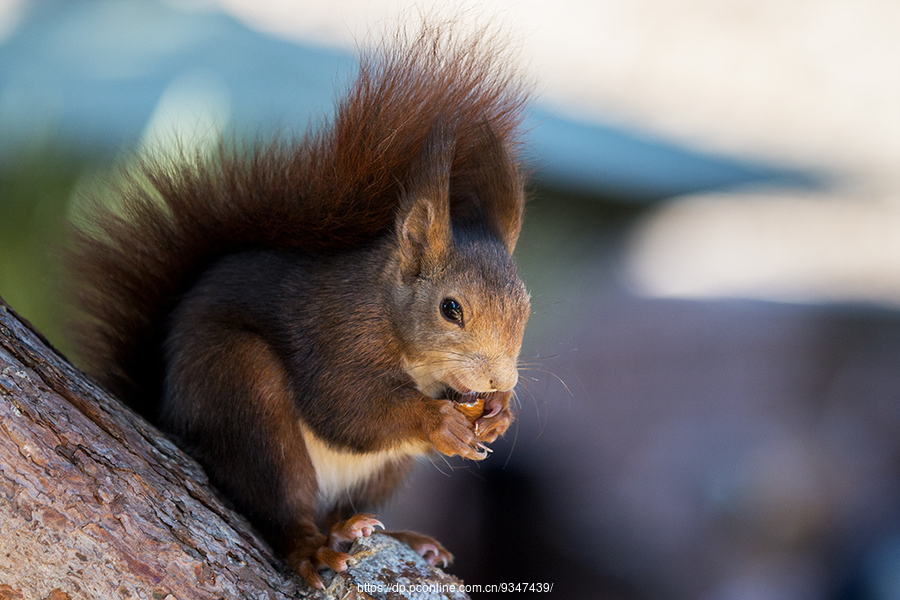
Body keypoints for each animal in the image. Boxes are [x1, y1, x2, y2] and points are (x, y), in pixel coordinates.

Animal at [68, 19, 536, 592]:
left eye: (526, 306)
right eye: (451, 309)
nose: (499, 380)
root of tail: (166, 411)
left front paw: (499, 415)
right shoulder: (335, 330)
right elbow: (345, 407)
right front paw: (437, 421)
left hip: (382, 472)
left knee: (343, 508)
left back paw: (399, 536)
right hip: (243, 393)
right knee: (282, 501)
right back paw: (312, 546)